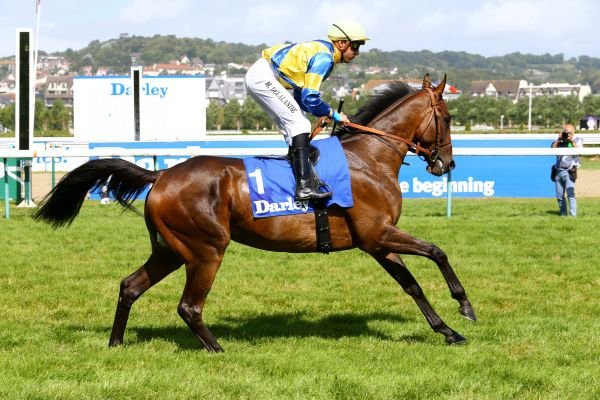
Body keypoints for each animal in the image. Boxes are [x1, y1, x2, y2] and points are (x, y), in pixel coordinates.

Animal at [33, 74, 476, 352]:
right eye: (448, 117)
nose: (446, 164)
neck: (370, 158)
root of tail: (162, 174)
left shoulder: (376, 241)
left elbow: (412, 285)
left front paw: (448, 331)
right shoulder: (377, 234)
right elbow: (437, 251)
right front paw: (465, 307)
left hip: (170, 250)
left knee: (130, 286)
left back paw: (116, 343)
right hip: (205, 250)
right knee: (188, 306)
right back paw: (217, 348)